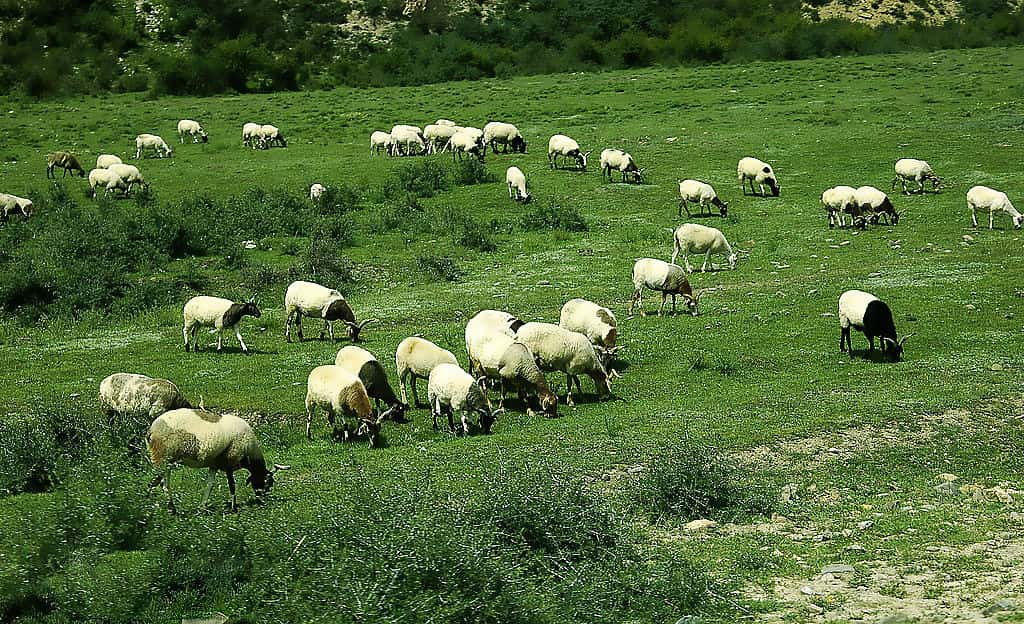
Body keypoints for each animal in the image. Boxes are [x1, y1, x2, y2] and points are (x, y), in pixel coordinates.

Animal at [146, 409, 288, 510]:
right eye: (267, 483)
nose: (262, 501)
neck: (249, 453)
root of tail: (151, 430)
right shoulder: (229, 462)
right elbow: (232, 485)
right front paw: (233, 508)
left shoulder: (215, 465)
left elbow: (210, 485)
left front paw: (202, 506)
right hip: (163, 458)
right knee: (163, 483)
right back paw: (171, 509)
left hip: (166, 461)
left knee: (157, 481)